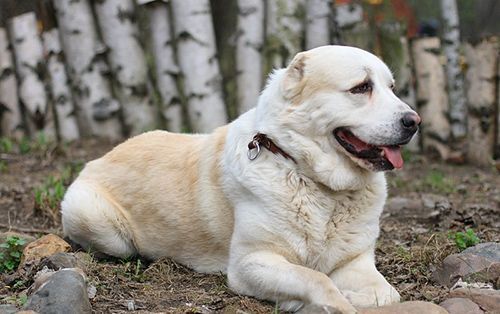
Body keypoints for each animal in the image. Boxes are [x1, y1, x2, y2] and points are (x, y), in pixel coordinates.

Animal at [62, 44, 422, 312]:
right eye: (361, 88)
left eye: (391, 88)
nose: (413, 121)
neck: (305, 173)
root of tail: (100, 156)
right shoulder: (251, 263)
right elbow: (316, 279)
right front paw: (333, 302)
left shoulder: (356, 262)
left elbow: (386, 294)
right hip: (96, 220)